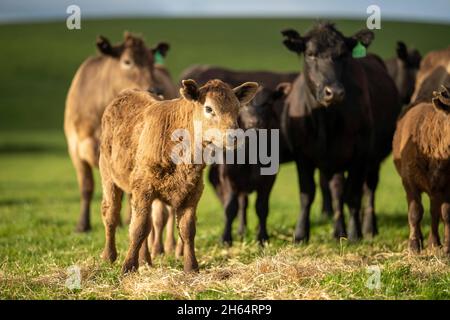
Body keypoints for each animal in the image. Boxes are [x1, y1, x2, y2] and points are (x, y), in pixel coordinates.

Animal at [65, 31, 174, 232]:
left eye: (151, 61)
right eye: (127, 61)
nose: (156, 88)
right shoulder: (75, 147)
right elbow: (86, 186)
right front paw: (82, 225)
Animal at [100, 79, 258, 272]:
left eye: (237, 108)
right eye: (209, 108)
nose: (234, 136)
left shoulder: (193, 191)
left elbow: (186, 229)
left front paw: (191, 267)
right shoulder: (144, 188)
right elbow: (138, 228)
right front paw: (128, 266)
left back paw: (145, 260)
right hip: (108, 175)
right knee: (111, 213)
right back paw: (109, 256)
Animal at [392, 85, 450, 255]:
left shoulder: (447, 184)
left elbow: (446, 213)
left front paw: (447, 247)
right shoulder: (409, 181)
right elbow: (415, 212)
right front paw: (414, 245)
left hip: (436, 189)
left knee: (434, 212)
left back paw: (434, 242)